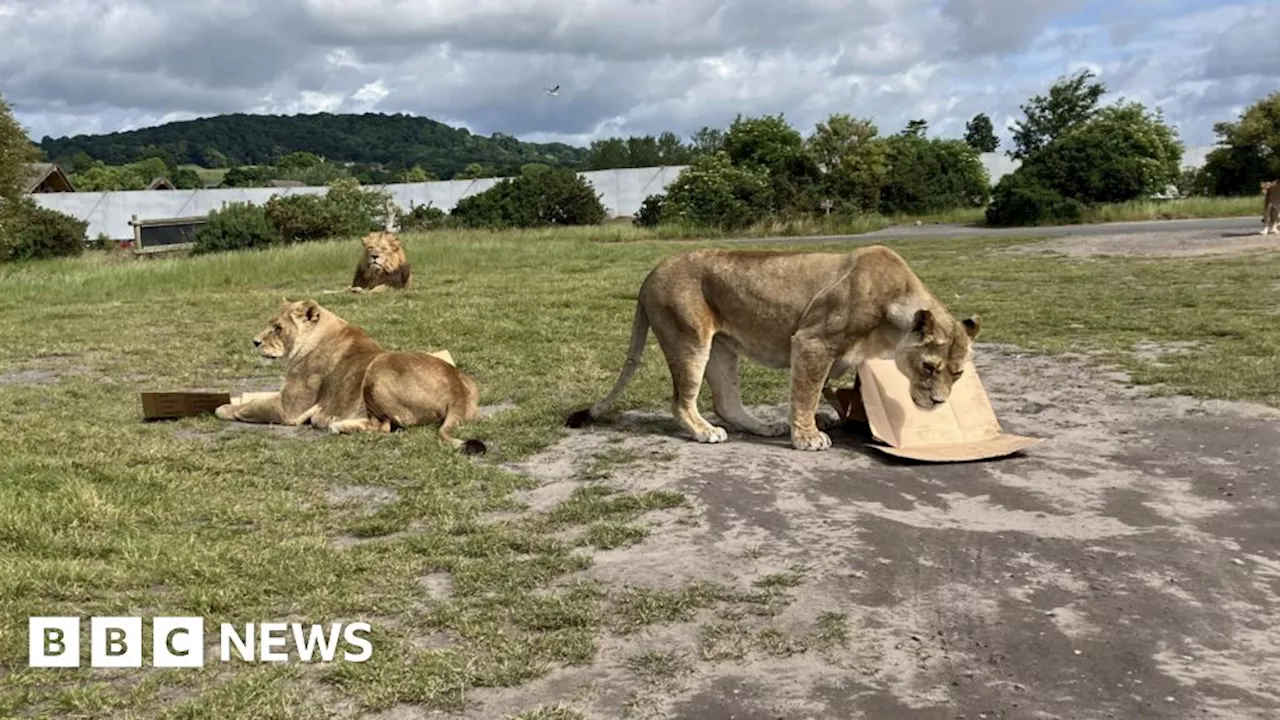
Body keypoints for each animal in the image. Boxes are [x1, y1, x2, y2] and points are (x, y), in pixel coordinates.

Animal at [215, 297, 483, 453]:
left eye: (278, 328)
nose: (255, 342)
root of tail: (457, 390)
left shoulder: (289, 408)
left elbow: (250, 407)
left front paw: (224, 409)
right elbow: (252, 398)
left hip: (378, 367)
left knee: (383, 426)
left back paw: (335, 425)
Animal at [568, 243, 977, 450]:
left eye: (956, 373)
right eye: (928, 367)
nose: (938, 402)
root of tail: (650, 274)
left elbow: (830, 393)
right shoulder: (812, 342)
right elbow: (806, 393)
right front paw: (809, 437)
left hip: (722, 349)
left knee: (727, 401)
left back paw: (765, 427)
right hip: (689, 339)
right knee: (682, 401)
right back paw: (704, 432)